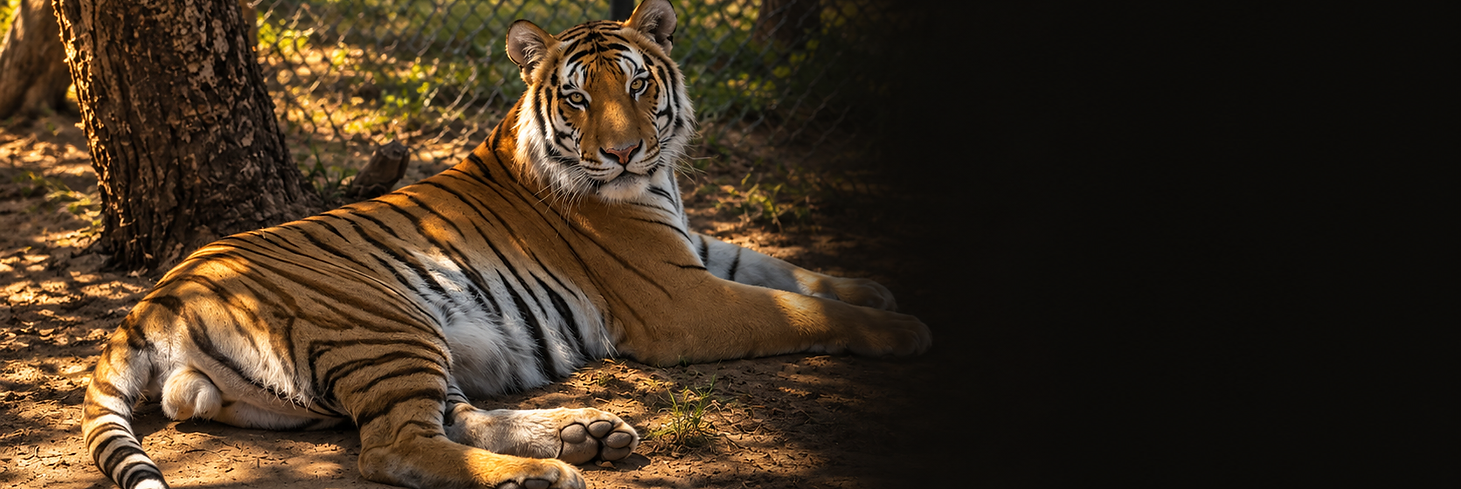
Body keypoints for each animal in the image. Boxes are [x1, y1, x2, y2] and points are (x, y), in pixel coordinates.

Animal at [80, 1, 931, 488]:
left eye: (639, 84)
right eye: (579, 99)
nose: (624, 152)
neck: (653, 182)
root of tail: (152, 299)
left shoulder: (691, 248)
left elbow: (787, 270)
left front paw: (876, 288)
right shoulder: (677, 298)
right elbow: (796, 309)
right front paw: (901, 327)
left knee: (443, 416)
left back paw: (587, 433)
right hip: (383, 320)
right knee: (392, 446)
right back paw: (545, 473)